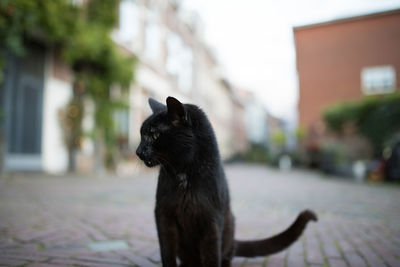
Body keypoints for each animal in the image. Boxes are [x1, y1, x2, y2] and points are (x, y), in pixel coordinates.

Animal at [136, 97, 318, 267]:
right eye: (141, 135)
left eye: (154, 135)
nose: (138, 151)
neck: (184, 176)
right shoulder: (163, 214)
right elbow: (167, 251)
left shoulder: (211, 218)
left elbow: (211, 254)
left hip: (229, 222)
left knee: (227, 254)